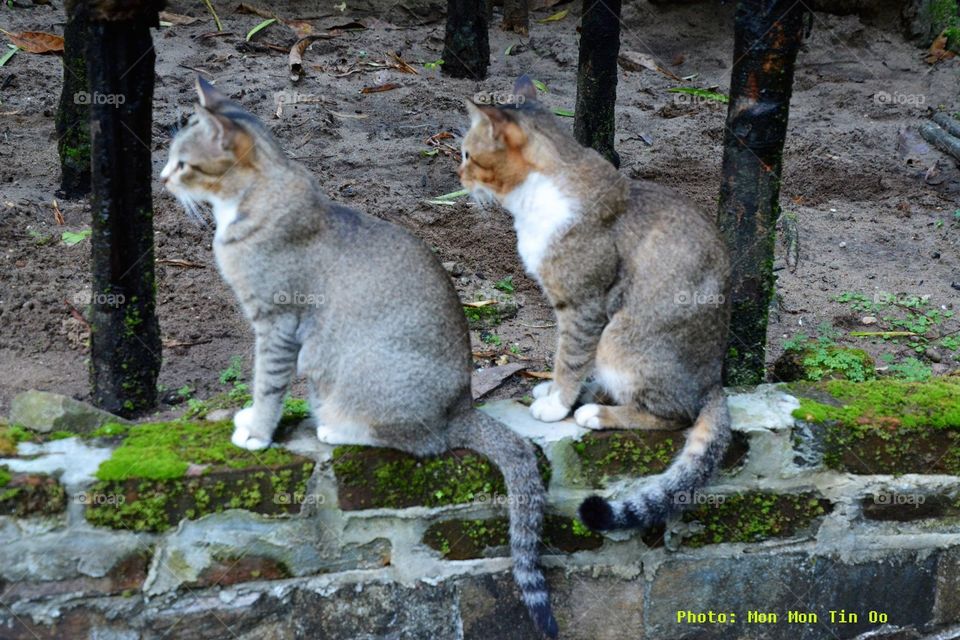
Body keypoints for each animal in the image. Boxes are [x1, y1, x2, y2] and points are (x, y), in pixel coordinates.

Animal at [161, 77, 560, 636]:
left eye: (184, 164)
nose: (161, 179)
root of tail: (463, 406)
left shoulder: (277, 323)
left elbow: (267, 383)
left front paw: (257, 432)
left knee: (426, 443)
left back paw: (339, 428)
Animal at [462, 77, 732, 532]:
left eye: (466, 153)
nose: (457, 174)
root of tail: (715, 381)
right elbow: (565, 357)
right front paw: (555, 390)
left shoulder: (585, 305)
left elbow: (569, 357)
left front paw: (557, 404)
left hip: (620, 337)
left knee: (676, 413)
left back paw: (597, 414)